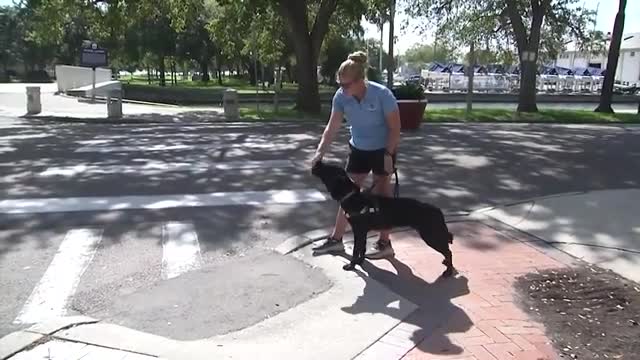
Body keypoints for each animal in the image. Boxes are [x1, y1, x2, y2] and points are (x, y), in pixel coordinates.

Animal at [312, 160, 456, 276]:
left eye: (328, 169)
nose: (318, 162)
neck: (352, 196)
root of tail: (438, 211)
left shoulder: (358, 231)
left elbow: (355, 250)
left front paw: (351, 265)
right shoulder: (363, 232)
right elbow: (362, 249)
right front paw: (360, 262)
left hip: (430, 236)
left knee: (448, 251)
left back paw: (448, 271)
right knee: (446, 249)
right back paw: (446, 263)